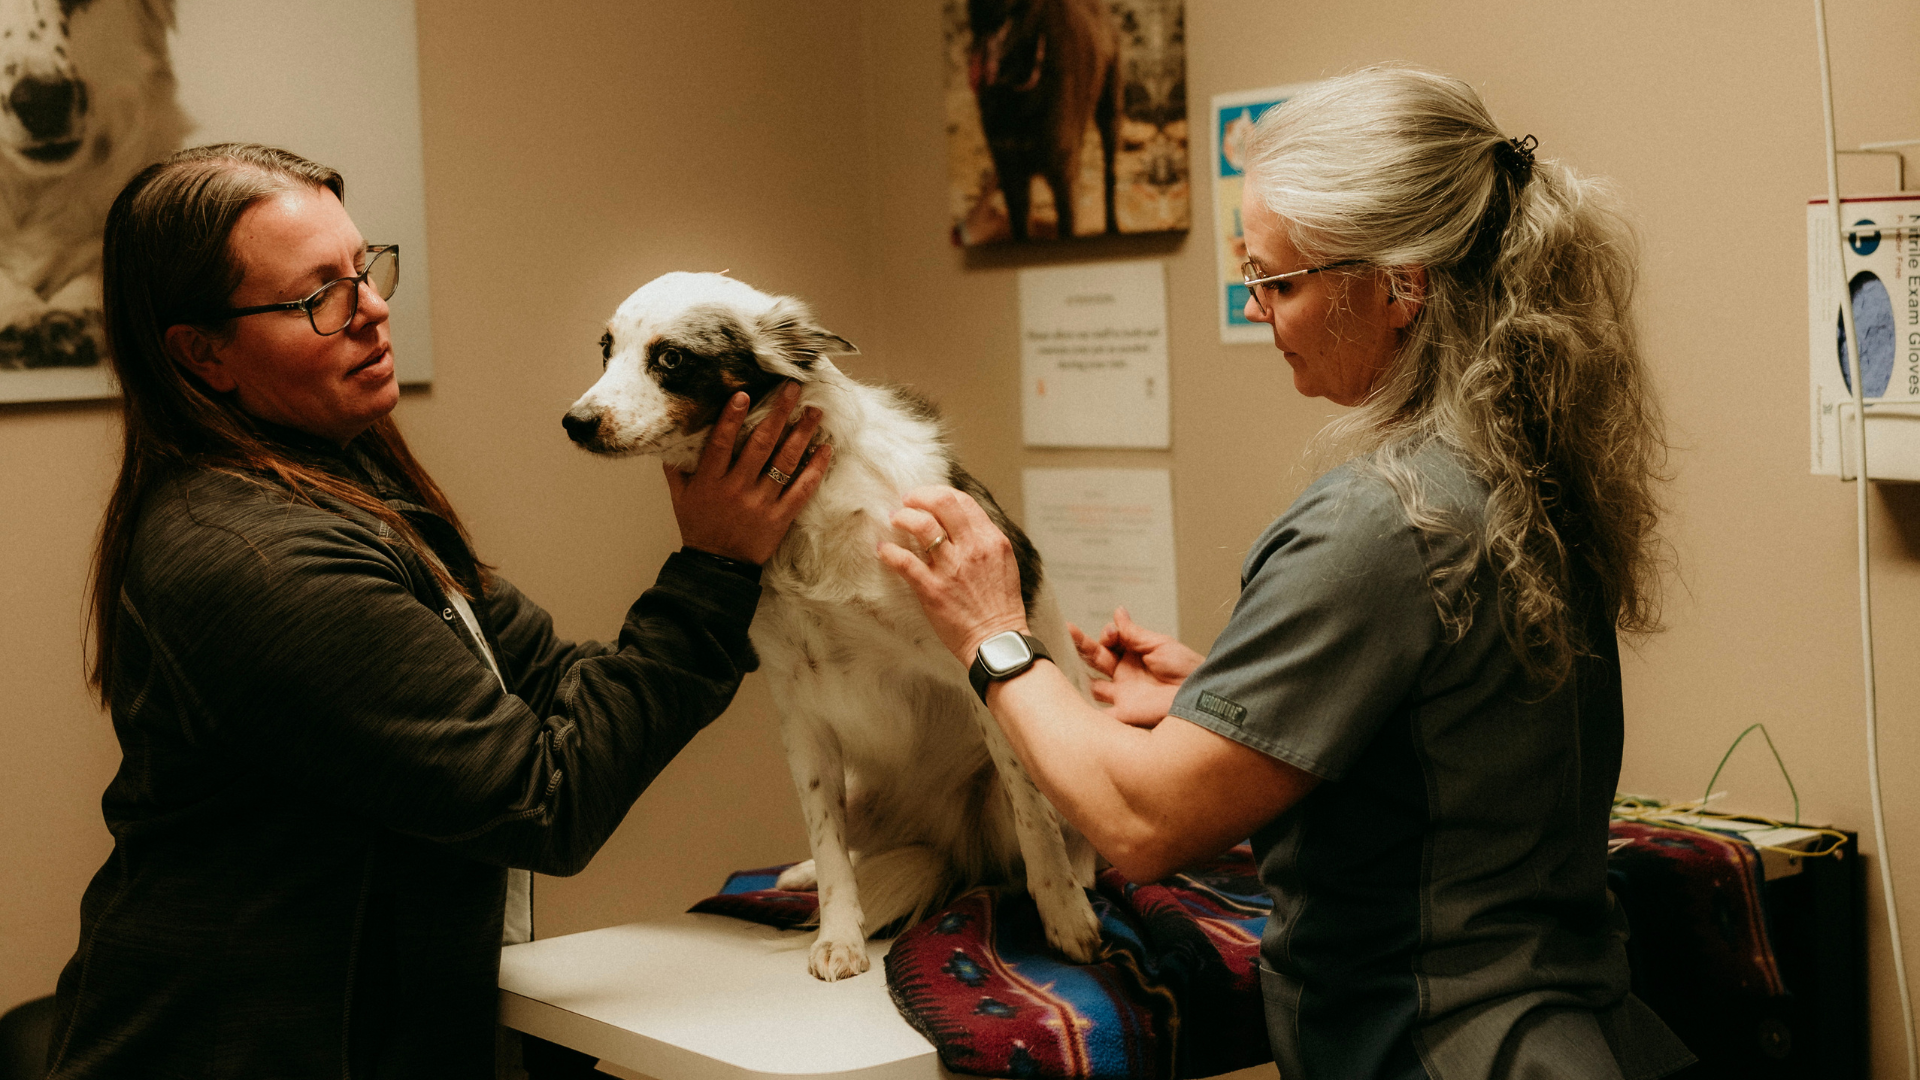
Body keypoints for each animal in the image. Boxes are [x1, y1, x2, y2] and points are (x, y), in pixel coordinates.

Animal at [560, 272, 1105, 980]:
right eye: (606, 349)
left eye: (672, 358)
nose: (574, 423)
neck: (807, 514)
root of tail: (948, 845)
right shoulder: (800, 708)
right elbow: (827, 842)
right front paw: (839, 934)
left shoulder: (975, 669)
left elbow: (1035, 820)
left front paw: (1064, 914)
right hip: (861, 786)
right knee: (845, 845)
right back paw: (798, 874)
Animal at [967, 0, 1121, 239]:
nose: (983, 10)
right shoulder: (1011, 176)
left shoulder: (1062, 179)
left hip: (1109, 116)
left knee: (1110, 176)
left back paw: (1113, 226)